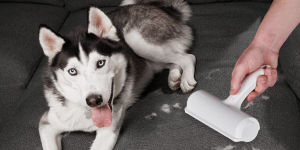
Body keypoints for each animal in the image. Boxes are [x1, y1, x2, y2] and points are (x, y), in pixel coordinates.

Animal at [38, 0, 197, 149]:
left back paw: (186, 79)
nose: (94, 100)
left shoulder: (108, 132)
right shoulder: (47, 124)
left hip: (137, 40)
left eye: (100, 63)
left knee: (187, 57)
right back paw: (174, 78)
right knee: (174, 61)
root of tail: (161, 8)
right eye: (72, 71)